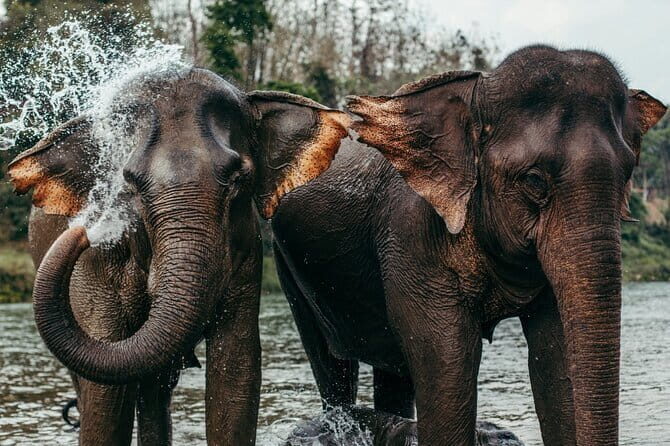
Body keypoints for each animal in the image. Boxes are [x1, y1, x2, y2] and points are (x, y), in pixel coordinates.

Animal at [8, 68, 350, 445]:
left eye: (237, 178)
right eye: (129, 183)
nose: (85, 231)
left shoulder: (246, 249)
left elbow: (236, 370)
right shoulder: (96, 266)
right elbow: (105, 394)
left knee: (155, 389)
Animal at [270, 45, 667, 445]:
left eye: (628, 175)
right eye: (534, 181)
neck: (477, 92)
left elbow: (555, 356)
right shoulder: (412, 235)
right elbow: (448, 360)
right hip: (287, 266)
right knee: (332, 363)